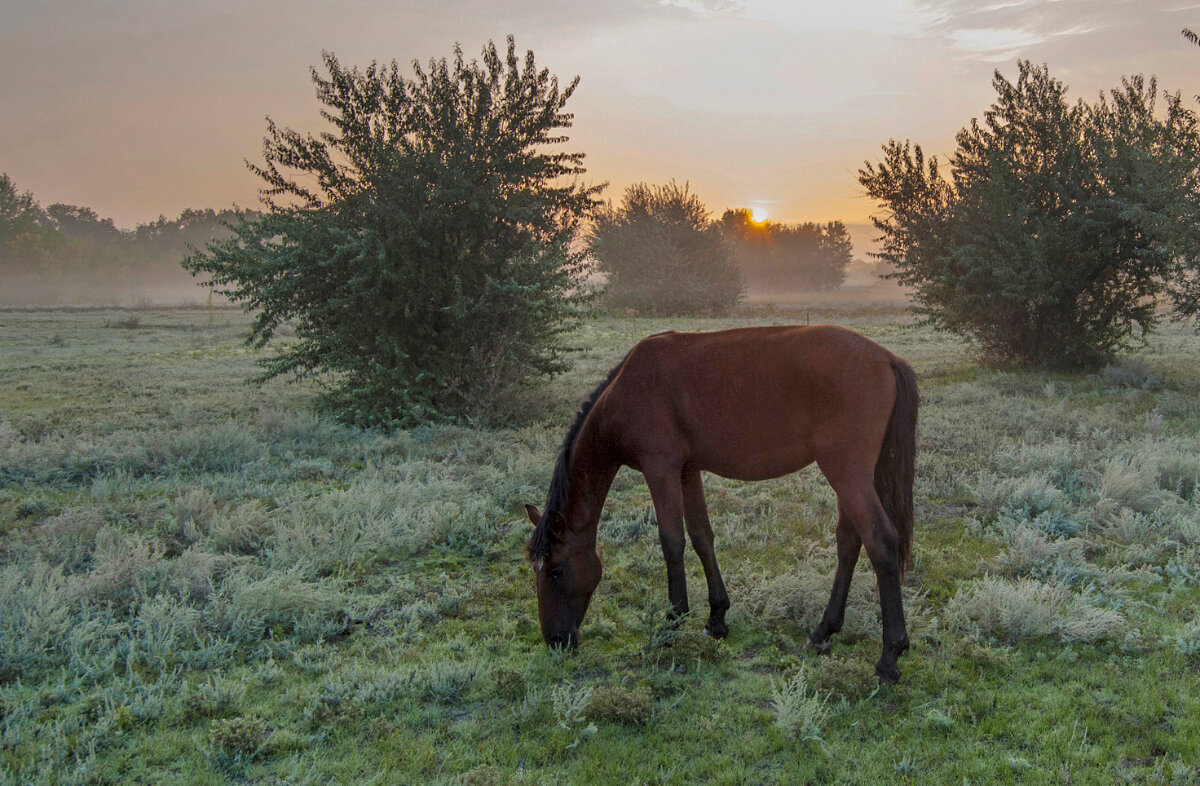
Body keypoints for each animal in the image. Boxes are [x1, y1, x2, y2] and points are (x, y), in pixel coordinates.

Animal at [523, 324, 916, 681]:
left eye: (556, 570)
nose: (555, 640)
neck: (624, 394)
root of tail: (888, 359)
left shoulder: (660, 468)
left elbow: (672, 542)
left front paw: (672, 623)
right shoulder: (687, 470)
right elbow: (701, 537)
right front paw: (717, 617)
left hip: (846, 472)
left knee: (880, 542)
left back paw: (889, 657)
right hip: (853, 476)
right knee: (850, 542)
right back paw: (822, 633)